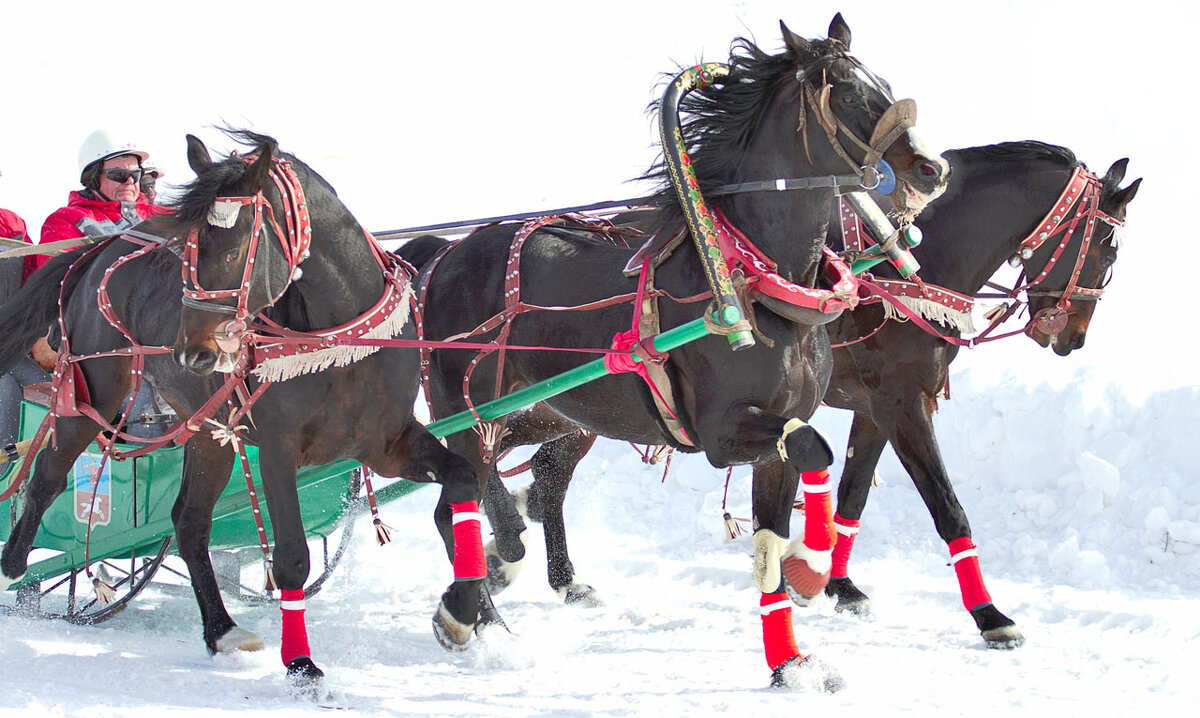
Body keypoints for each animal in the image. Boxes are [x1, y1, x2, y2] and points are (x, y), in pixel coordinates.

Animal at [1, 129, 487, 686]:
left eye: (234, 250)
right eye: (189, 250)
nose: (191, 353)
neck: (338, 336)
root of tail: (102, 247)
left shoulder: (387, 440)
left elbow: (463, 479)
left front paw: (460, 612)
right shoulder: (277, 449)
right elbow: (291, 556)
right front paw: (300, 662)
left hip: (209, 430)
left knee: (189, 521)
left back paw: (221, 629)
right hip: (92, 392)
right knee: (47, 474)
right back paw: (14, 565)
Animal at [410, 14, 945, 681]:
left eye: (886, 84)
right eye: (846, 95)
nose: (932, 168)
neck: (755, 285)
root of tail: (447, 255)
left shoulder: (772, 440)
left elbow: (771, 536)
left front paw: (789, 662)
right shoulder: (722, 432)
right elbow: (815, 446)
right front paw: (815, 567)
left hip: (550, 410)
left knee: (512, 485)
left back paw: (504, 568)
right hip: (469, 410)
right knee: (455, 502)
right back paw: (480, 611)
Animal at [470, 138, 1142, 648]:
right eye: (1107, 246)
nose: (1073, 337)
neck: (898, 269)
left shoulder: (876, 409)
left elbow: (851, 497)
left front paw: (835, 581)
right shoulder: (902, 403)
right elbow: (946, 506)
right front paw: (990, 615)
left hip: (574, 407)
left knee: (544, 474)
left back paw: (544, 566)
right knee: (506, 458)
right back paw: (508, 546)